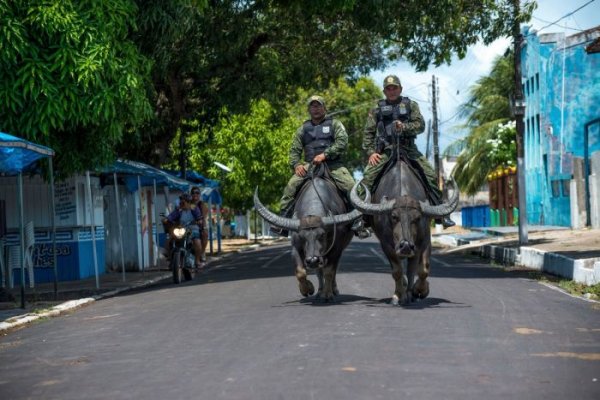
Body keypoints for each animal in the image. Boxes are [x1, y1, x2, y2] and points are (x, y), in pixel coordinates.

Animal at [350, 159, 458, 306]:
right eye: (394, 216)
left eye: (417, 218)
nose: (406, 246)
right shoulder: (387, 245)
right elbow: (397, 271)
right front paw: (399, 296)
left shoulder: (423, 241)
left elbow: (421, 269)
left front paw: (418, 292)